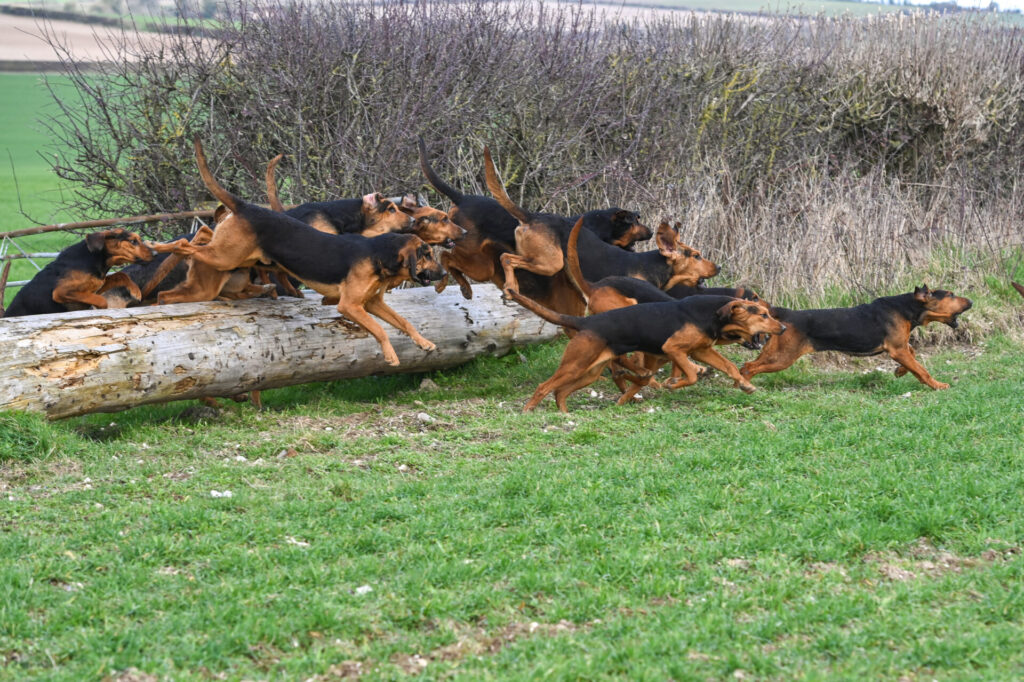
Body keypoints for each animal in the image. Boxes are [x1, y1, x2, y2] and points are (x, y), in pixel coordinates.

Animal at [2, 225, 152, 315]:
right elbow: (102, 301)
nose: (154, 253)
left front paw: (135, 290)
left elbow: (121, 275)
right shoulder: (63, 292)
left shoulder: (96, 286)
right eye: (133, 241)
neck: (94, 258)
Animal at [149, 135, 446, 364]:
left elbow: (403, 321)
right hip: (223, 258)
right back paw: (155, 246)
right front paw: (391, 356)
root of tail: (246, 207)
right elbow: (379, 330)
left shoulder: (373, 302)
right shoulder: (349, 306)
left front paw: (424, 343)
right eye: (427, 255)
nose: (443, 274)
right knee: (185, 245)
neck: (378, 254)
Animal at [509, 288, 782, 411]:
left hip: (590, 372)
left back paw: (564, 415)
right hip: (575, 364)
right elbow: (691, 375)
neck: (712, 315)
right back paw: (528, 411)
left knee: (560, 392)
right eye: (763, 315)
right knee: (544, 387)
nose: (782, 328)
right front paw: (675, 384)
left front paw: (745, 385)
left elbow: (729, 366)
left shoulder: (702, 351)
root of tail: (586, 322)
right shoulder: (674, 348)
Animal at [741, 282, 970, 387]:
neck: (906, 307)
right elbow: (922, 370)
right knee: (749, 368)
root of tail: (786, 312)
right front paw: (938, 386)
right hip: (783, 357)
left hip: (774, 352)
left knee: (747, 365)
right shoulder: (897, 350)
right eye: (950, 295)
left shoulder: (900, 347)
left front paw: (899, 371)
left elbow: (912, 355)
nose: (971, 301)